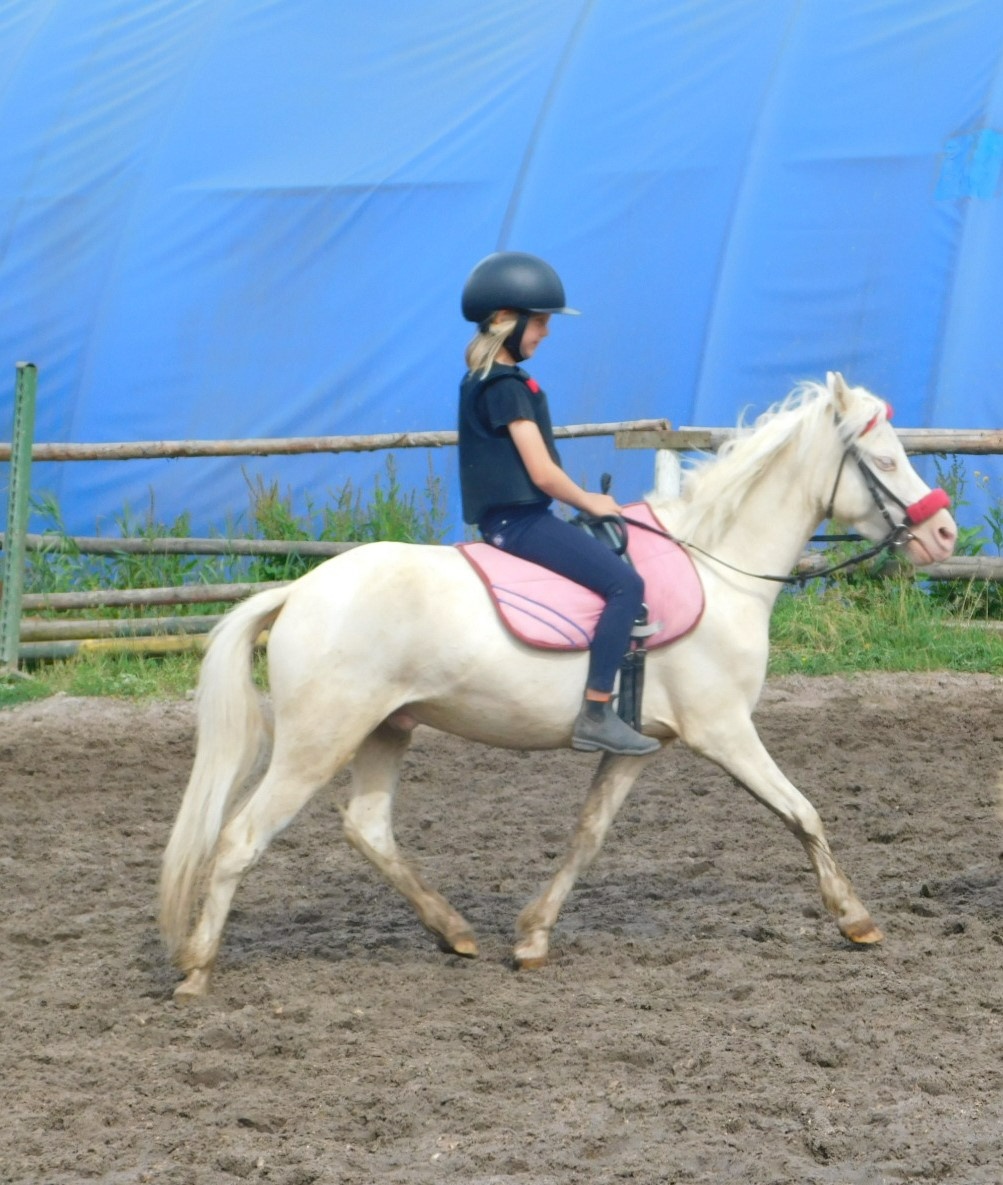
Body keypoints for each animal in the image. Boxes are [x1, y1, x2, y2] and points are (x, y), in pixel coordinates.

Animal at [159, 372, 957, 999]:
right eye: (886, 459)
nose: (944, 533)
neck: (717, 566)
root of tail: (298, 591)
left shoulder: (643, 744)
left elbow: (587, 835)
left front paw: (532, 937)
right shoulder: (723, 730)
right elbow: (802, 812)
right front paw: (855, 920)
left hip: (388, 727)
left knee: (368, 827)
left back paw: (455, 933)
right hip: (317, 742)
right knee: (240, 838)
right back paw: (196, 970)